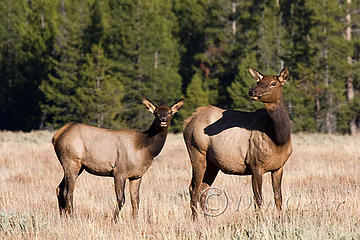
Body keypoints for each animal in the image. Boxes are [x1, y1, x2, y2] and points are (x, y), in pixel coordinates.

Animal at [52, 97, 186, 218]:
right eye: (156, 112)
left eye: (170, 112)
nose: (163, 118)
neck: (145, 149)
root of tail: (56, 136)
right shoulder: (119, 171)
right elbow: (121, 199)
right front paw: (114, 220)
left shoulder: (137, 176)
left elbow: (136, 200)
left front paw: (135, 221)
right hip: (71, 161)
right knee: (68, 192)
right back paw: (71, 217)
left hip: (79, 166)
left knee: (59, 188)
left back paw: (63, 216)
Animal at [183, 66, 292, 218]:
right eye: (258, 81)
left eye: (273, 83)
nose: (252, 90)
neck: (279, 139)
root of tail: (188, 122)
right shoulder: (255, 164)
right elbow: (258, 199)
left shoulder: (279, 167)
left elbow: (278, 197)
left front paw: (280, 218)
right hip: (197, 153)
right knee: (193, 188)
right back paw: (196, 220)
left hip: (212, 163)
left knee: (203, 190)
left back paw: (207, 220)